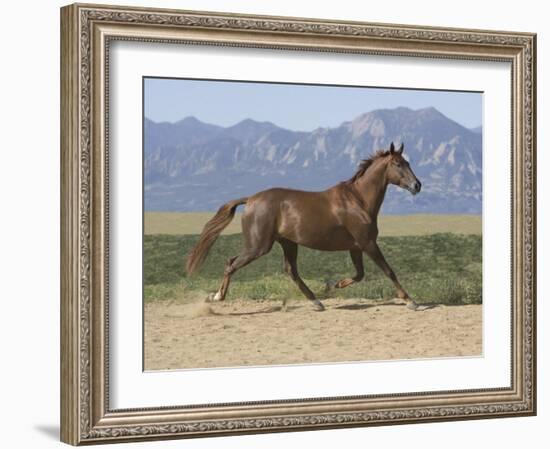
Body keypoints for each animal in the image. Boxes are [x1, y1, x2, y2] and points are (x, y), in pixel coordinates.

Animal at [185, 142, 422, 310]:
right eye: (398, 164)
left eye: (408, 163)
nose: (417, 185)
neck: (358, 200)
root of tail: (251, 199)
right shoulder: (368, 243)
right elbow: (389, 271)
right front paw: (411, 301)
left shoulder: (356, 246)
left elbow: (360, 274)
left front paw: (333, 285)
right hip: (259, 246)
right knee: (232, 263)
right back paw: (216, 297)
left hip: (288, 243)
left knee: (290, 271)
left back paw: (317, 302)